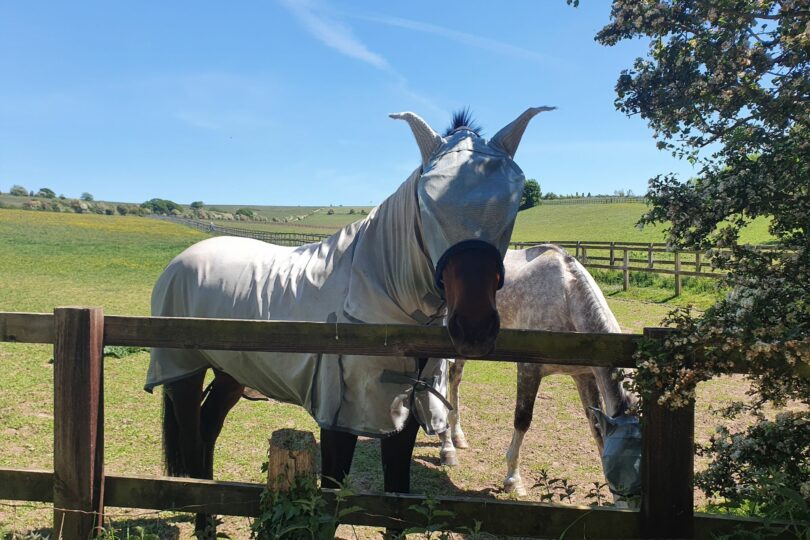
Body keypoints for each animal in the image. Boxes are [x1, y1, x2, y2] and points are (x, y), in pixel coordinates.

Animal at [146, 107, 554, 535]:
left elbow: (397, 500)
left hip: (232, 372)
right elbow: (330, 500)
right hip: (184, 371)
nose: (474, 327)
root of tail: (181, 262)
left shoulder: (404, 414)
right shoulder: (337, 418)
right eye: (427, 202)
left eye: (513, 202)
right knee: (192, 441)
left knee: (208, 429)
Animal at [437, 244, 642, 503]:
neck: (566, 297)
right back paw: (449, 444)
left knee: (455, 378)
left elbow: (596, 429)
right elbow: (522, 420)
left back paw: (457, 437)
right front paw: (513, 480)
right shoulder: (528, 369)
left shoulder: (584, 376)